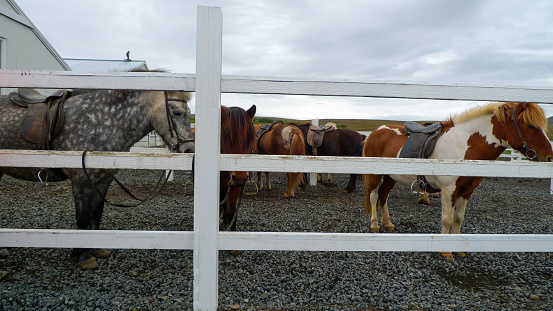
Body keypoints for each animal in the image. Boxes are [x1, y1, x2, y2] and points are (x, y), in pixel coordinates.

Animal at [0, 88, 194, 270]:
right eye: (177, 112)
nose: (189, 149)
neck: (102, 122)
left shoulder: (103, 180)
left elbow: (96, 213)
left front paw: (95, 248)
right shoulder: (81, 181)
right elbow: (83, 217)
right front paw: (81, 256)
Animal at [362, 102, 552, 260]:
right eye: (529, 125)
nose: (549, 157)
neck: (464, 146)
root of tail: (376, 131)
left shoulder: (466, 191)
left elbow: (458, 218)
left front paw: (457, 249)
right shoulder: (448, 190)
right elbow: (447, 219)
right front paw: (446, 252)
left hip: (390, 176)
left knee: (383, 197)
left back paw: (388, 224)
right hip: (375, 175)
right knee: (374, 196)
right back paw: (375, 226)